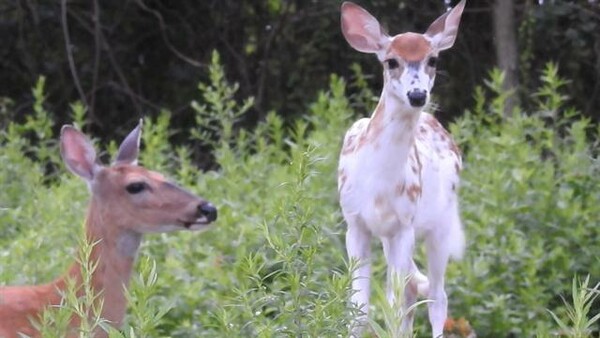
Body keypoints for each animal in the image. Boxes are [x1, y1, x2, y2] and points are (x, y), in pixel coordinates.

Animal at [340, 1, 466, 336]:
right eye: (391, 61)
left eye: (433, 59)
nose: (417, 94)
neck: (376, 182)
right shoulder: (355, 223)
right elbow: (359, 310)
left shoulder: (404, 225)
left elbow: (393, 307)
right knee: (414, 289)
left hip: (440, 226)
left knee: (437, 296)